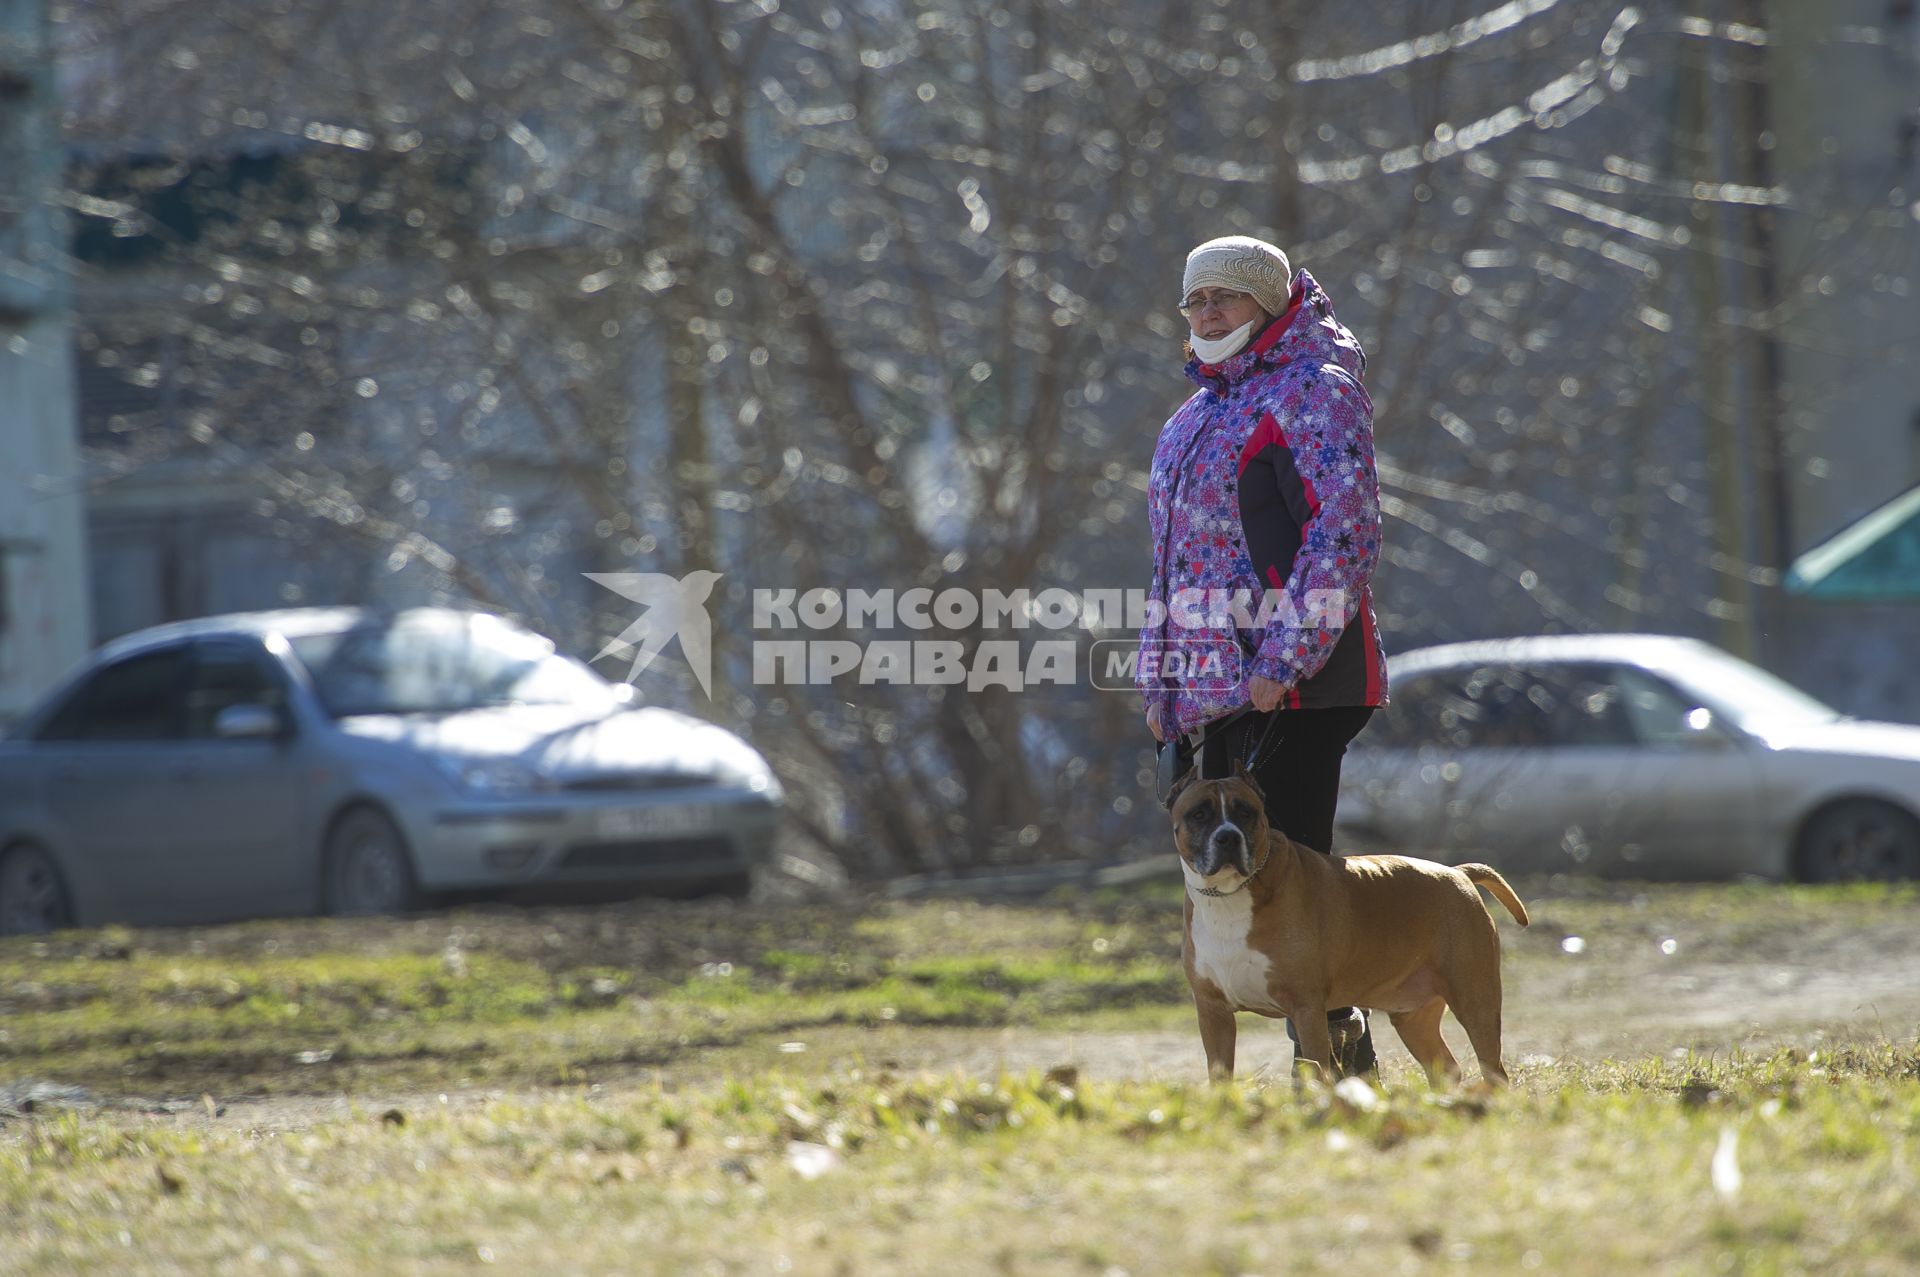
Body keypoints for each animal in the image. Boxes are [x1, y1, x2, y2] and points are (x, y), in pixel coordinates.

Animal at [1167, 756, 1528, 1083]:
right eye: (1199, 813)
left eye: (1246, 812)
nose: (1228, 837)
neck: (1228, 896)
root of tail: (1458, 873)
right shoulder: (1214, 1014)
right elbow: (1220, 1078)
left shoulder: (1307, 1010)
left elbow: (1317, 1072)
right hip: (1413, 1017)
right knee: (1446, 1069)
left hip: (1476, 1003)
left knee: (1494, 1071)